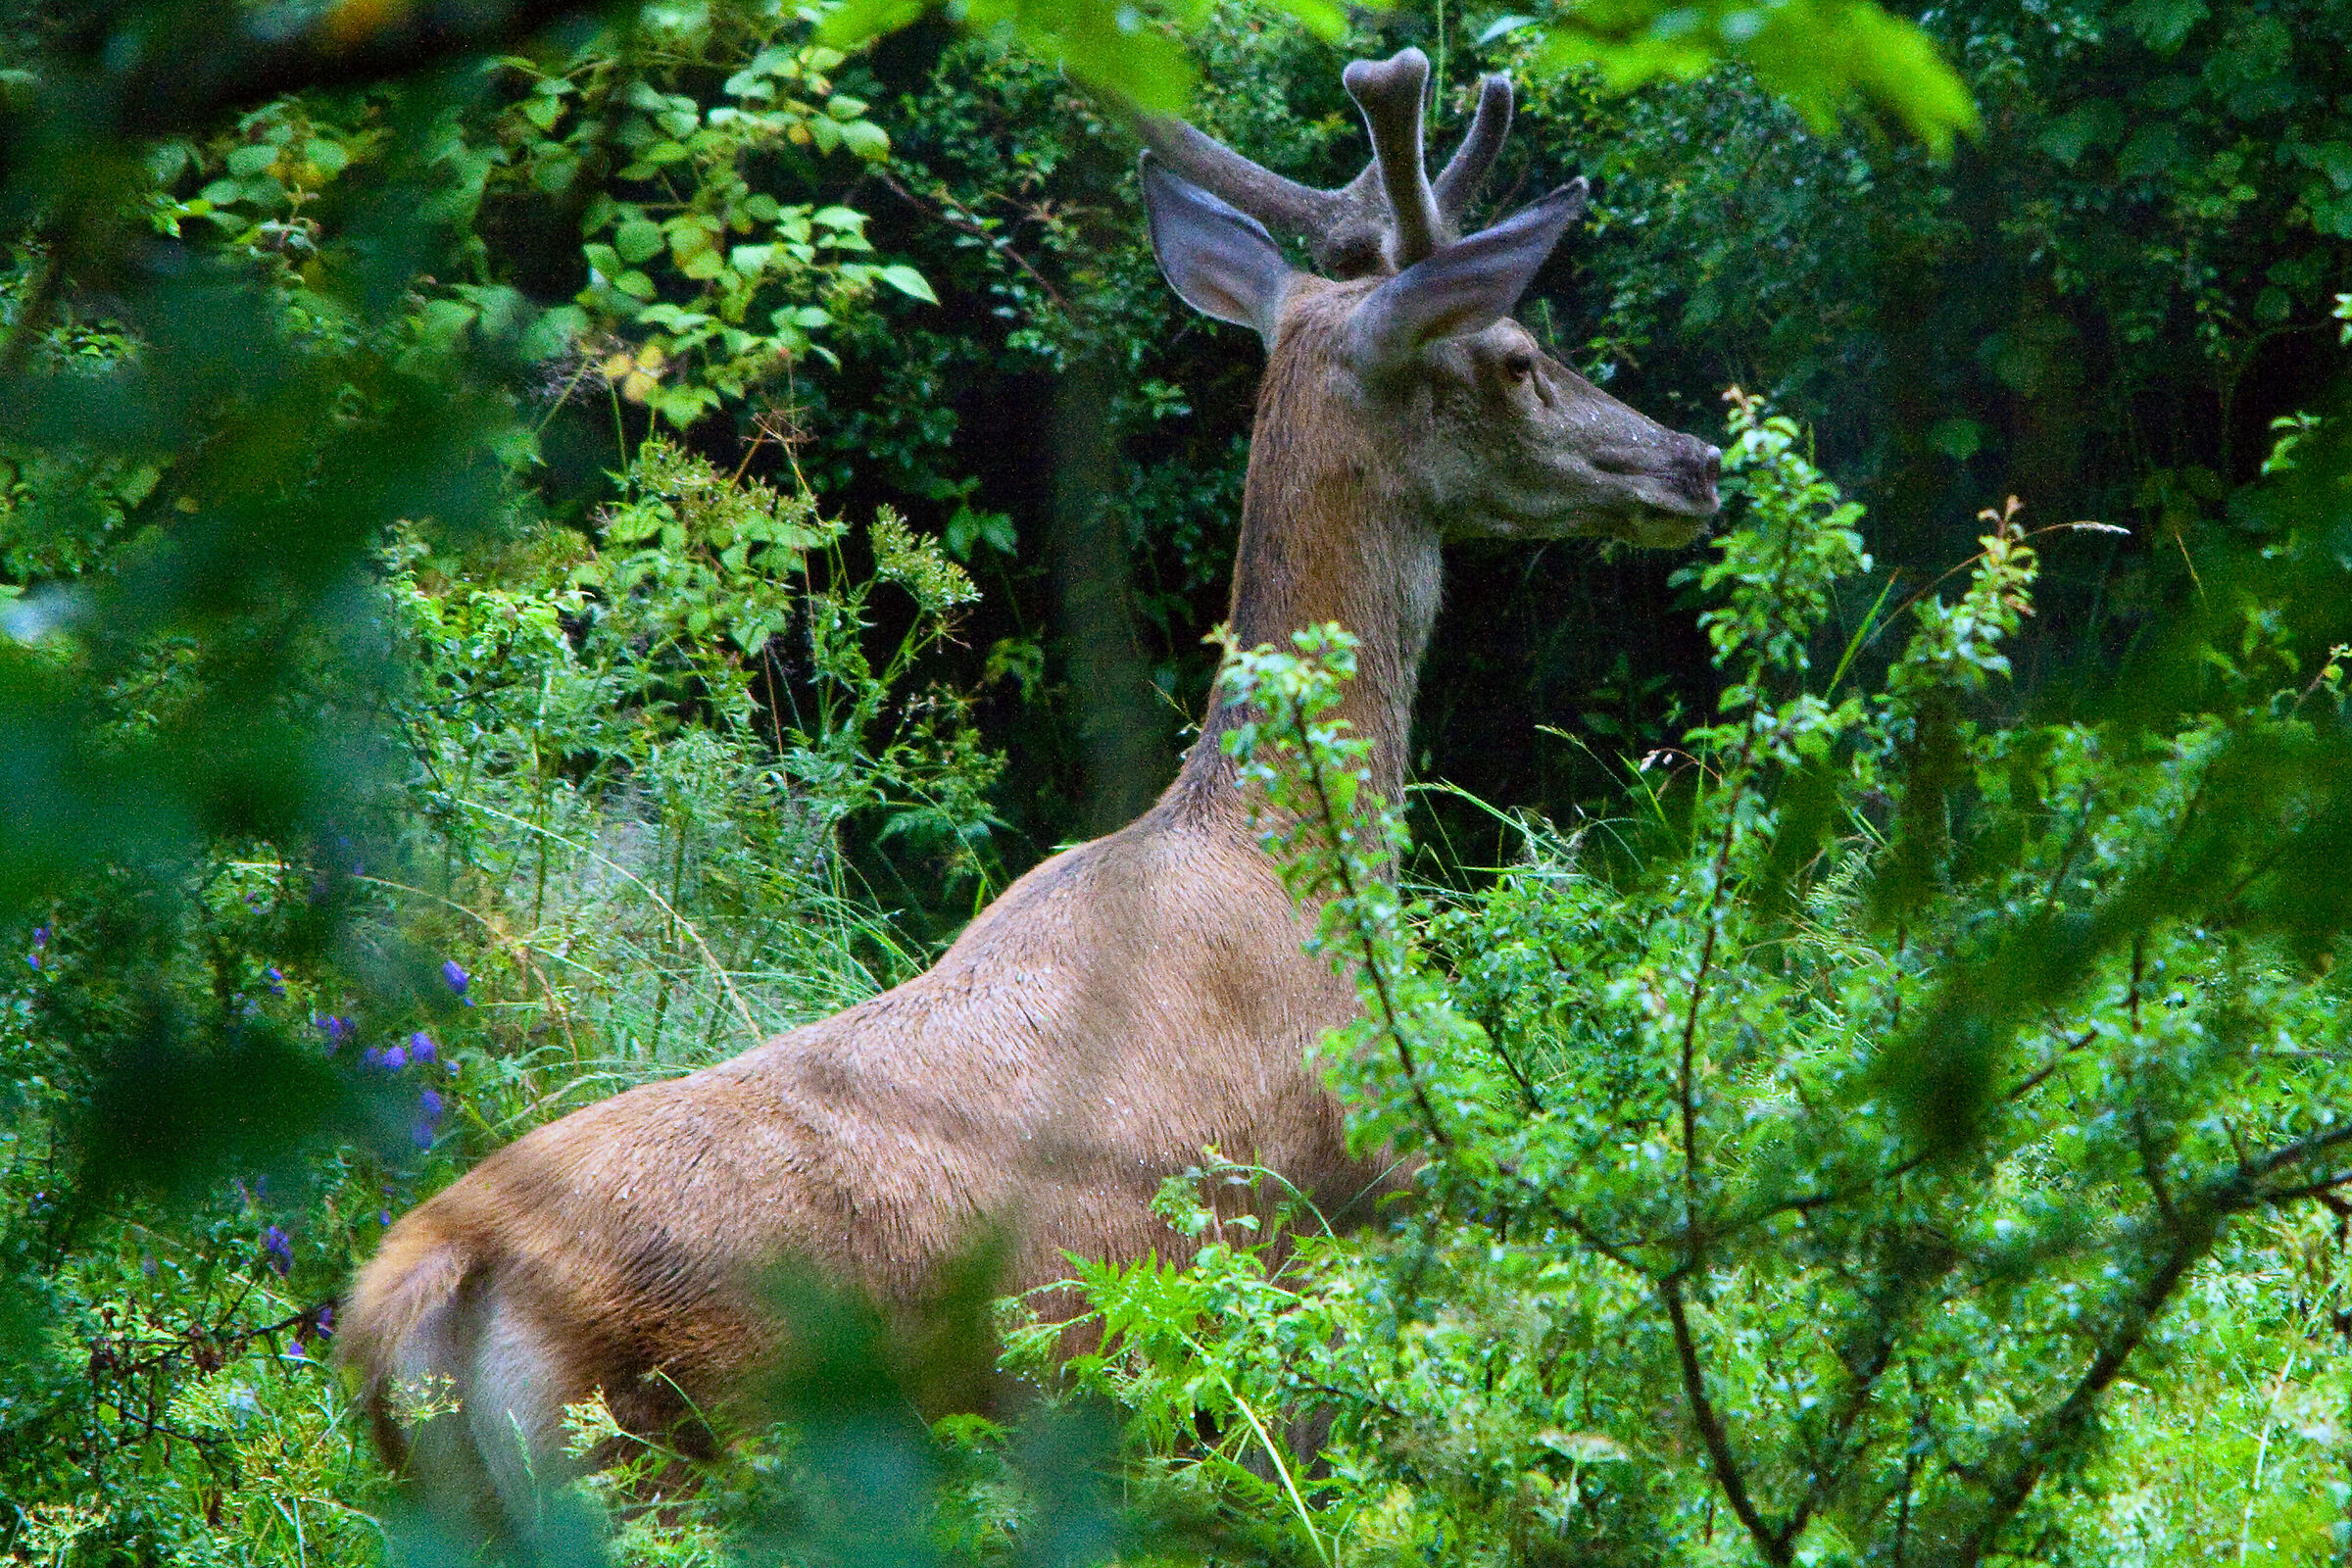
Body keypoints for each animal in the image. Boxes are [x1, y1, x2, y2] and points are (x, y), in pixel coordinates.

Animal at [340, 45, 1721, 1539]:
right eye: (1517, 356)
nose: (1694, 462)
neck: (1293, 852)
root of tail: (420, 1294)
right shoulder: (1300, 1239)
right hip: (660, 1469)